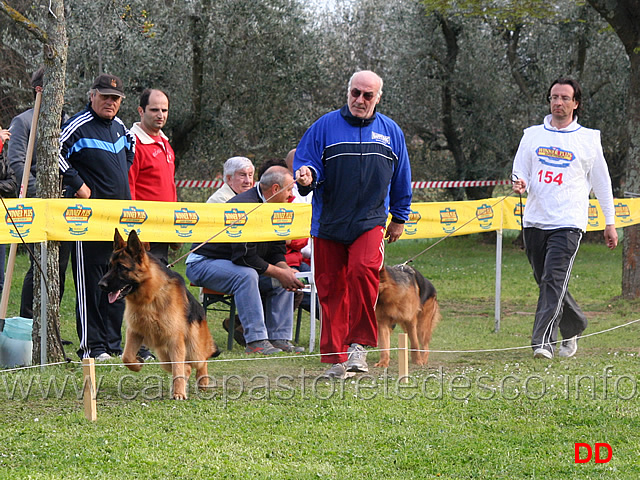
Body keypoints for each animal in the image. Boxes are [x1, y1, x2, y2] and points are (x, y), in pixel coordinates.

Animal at [99, 228, 219, 398]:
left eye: (121, 268)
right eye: (109, 266)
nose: (100, 285)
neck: (150, 296)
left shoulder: (175, 339)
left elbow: (178, 368)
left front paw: (179, 393)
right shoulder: (135, 332)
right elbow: (127, 357)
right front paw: (138, 364)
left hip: (192, 349)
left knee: (201, 360)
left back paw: (203, 381)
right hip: (164, 356)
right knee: (186, 367)